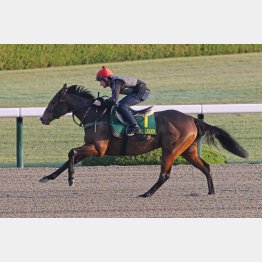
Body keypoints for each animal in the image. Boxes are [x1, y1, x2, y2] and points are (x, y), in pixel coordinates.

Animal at [40, 83, 249, 196]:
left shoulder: (98, 148)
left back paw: (146, 194)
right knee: (206, 167)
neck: (96, 115)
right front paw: (47, 177)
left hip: (171, 150)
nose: (42, 118)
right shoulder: (92, 147)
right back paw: (211, 191)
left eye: (53, 102)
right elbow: (68, 158)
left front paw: (71, 179)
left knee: (165, 175)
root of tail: (192, 119)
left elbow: (71, 152)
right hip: (188, 151)